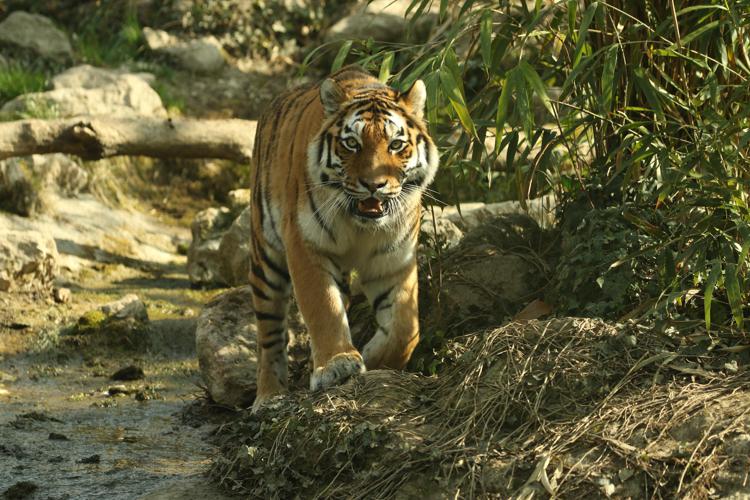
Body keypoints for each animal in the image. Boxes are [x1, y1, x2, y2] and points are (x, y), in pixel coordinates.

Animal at [248, 65, 439, 409]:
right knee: (269, 334)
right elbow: (323, 306)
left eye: (395, 145)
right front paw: (337, 365)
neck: (361, 225)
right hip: (265, 258)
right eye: (352, 143)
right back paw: (269, 396)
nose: (374, 184)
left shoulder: (395, 259)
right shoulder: (305, 246)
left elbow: (405, 329)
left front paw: (372, 359)